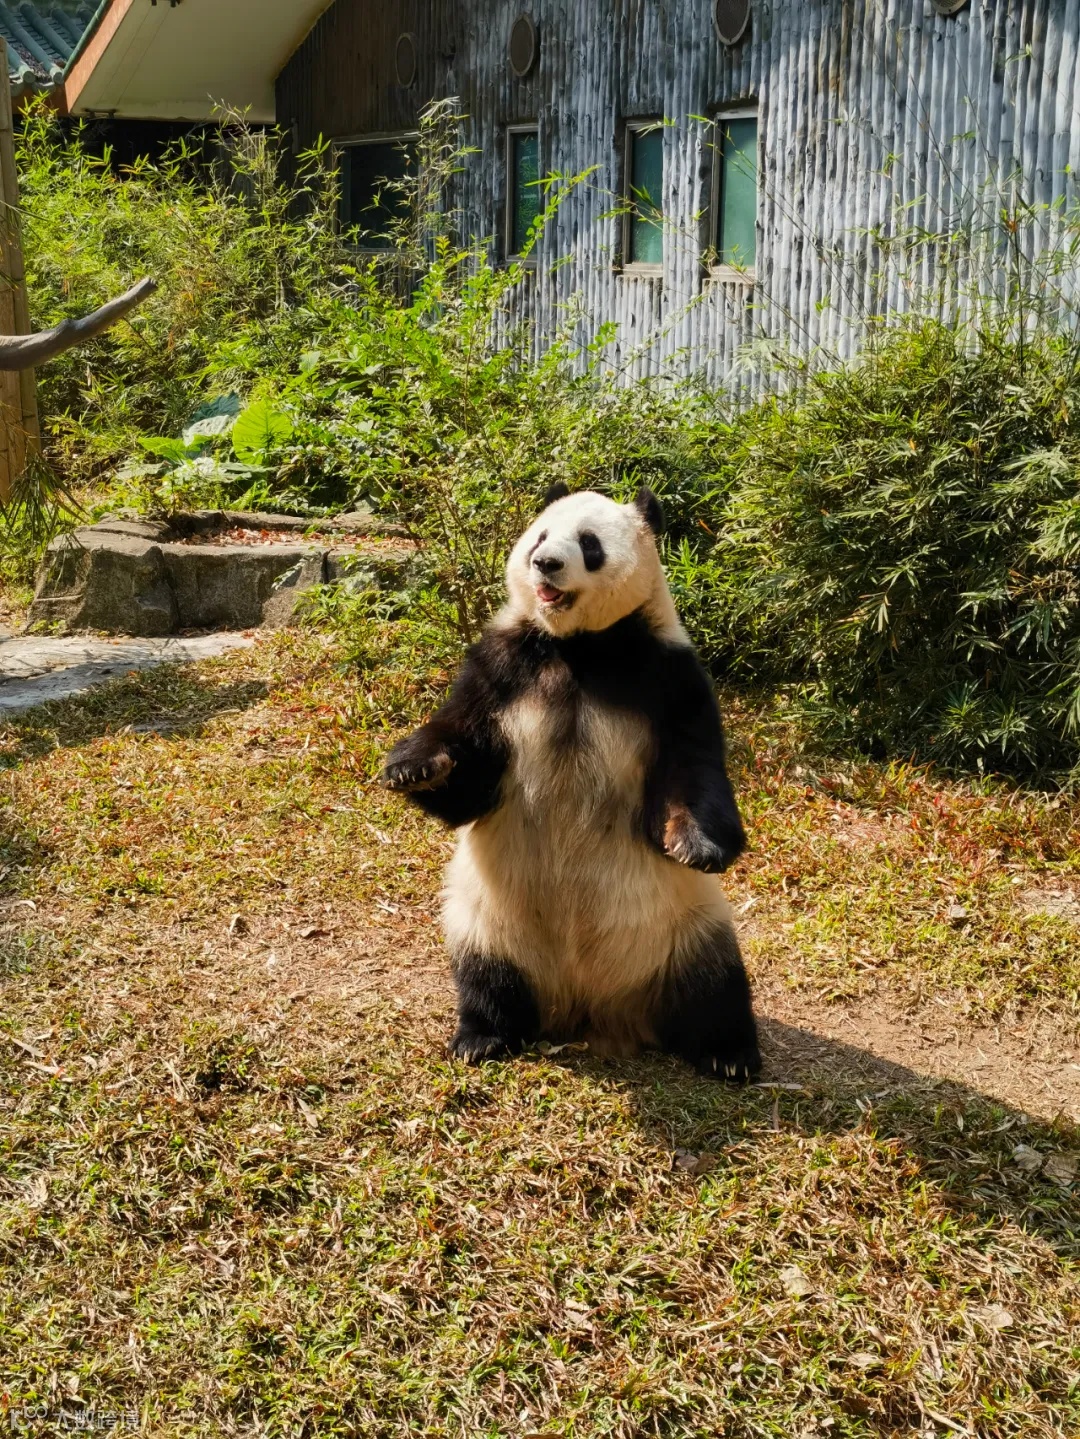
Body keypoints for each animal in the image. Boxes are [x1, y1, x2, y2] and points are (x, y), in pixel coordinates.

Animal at [381, 483, 761, 1080]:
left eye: (589, 544)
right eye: (540, 536)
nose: (546, 564)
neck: (578, 647)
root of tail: (592, 1009)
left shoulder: (668, 674)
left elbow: (693, 766)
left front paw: (694, 844)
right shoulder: (501, 669)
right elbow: (467, 768)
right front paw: (416, 768)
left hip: (687, 927)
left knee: (714, 986)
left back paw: (730, 1055)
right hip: (491, 924)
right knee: (488, 979)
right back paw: (482, 1037)